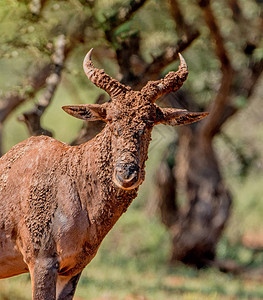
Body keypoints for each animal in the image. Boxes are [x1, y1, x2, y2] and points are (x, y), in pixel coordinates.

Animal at [0, 49, 209, 300]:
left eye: (150, 121)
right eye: (110, 118)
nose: (127, 174)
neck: (71, 176)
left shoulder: (72, 270)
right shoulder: (41, 263)